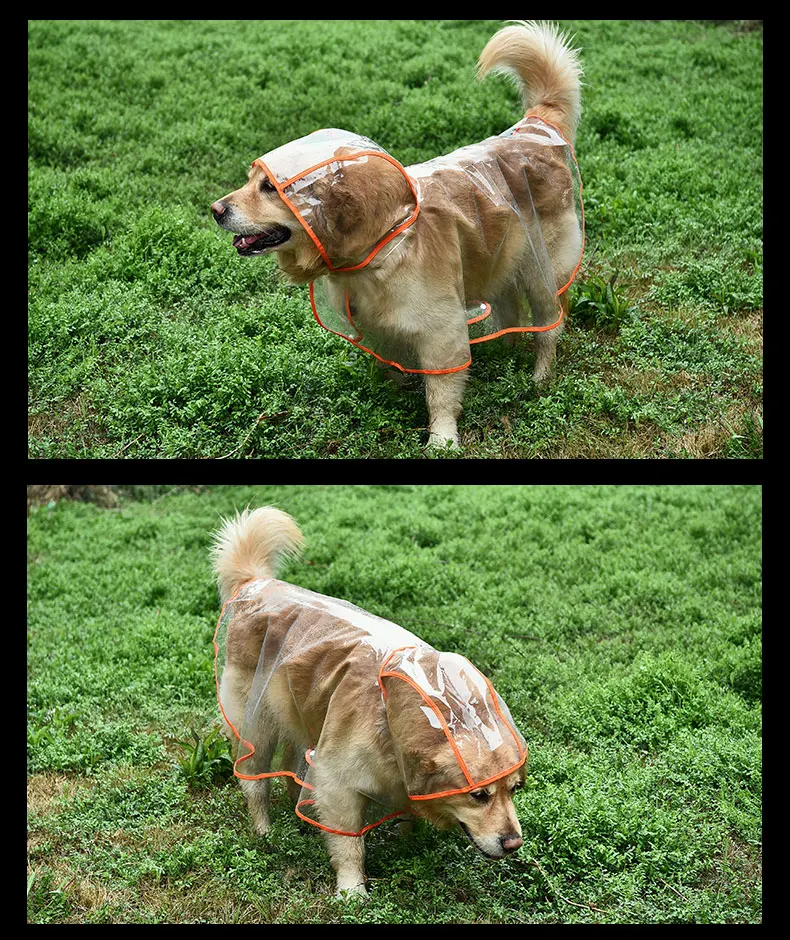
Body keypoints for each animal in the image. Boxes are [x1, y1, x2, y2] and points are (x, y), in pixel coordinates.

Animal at [213, 21, 584, 448]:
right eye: (250, 182)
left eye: (269, 188)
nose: (215, 210)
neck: (383, 243)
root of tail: (534, 129)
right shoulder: (380, 332)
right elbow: (391, 371)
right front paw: (388, 405)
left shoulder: (442, 333)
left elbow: (439, 393)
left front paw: (442, 440)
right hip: (498, 260)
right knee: (511, 314)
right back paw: (504, 356)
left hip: (543, 273)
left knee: (549, 327)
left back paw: (540, 377)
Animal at [213, 506, 528, 896]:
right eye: (479, 795)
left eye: (514, 790)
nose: (514, 843)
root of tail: (256, 584)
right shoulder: (339, 782)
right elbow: (350, 844)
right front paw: (352, 889)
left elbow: (406, 815)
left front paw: (407, 844)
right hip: (256, 722)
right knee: (254, 779)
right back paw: (264, 829)